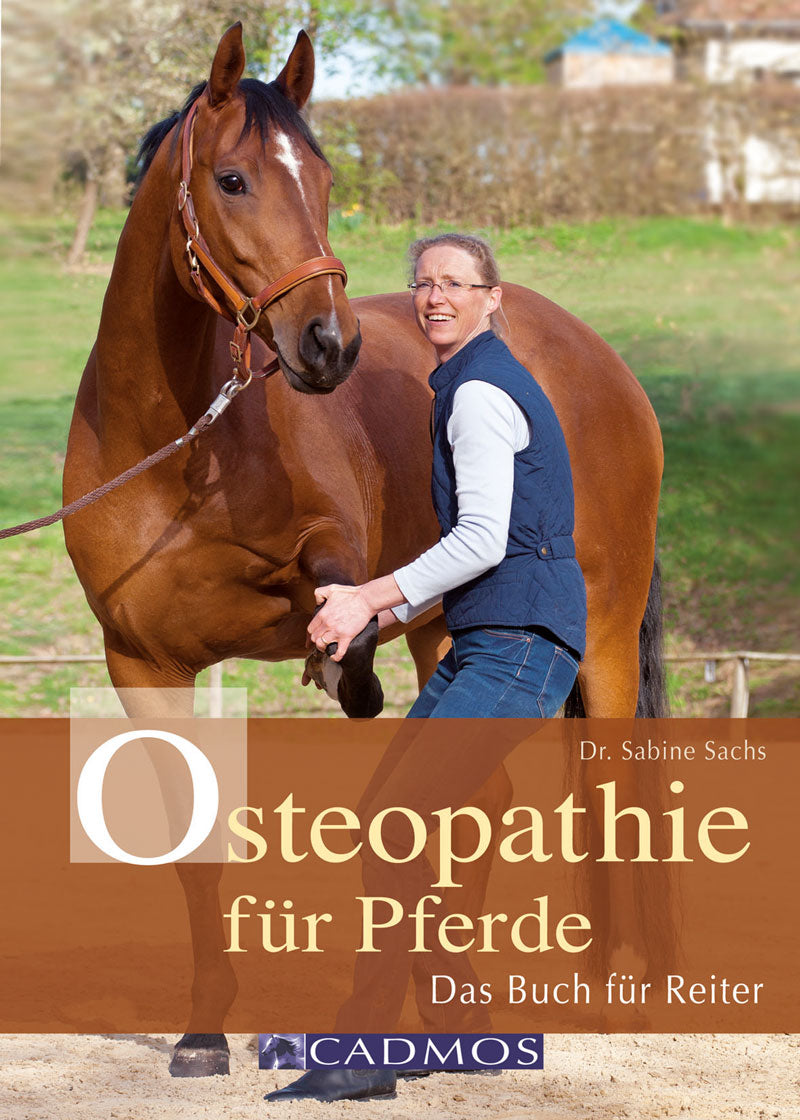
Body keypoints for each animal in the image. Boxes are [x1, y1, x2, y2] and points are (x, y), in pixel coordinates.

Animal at [63, 24, 667, 1076]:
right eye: (232, 180)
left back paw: (611, 983)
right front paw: (203, 1030)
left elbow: (337, 594)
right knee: (482, 796)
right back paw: (449, 997)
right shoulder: (142, 662)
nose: (327, 345)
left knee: (609, 782)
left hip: (605, 630)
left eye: (325, 177)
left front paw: (346, 666)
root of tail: (596, 356)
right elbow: (194, 844)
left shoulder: (333, 554)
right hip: (451, 633)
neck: (172, 447)